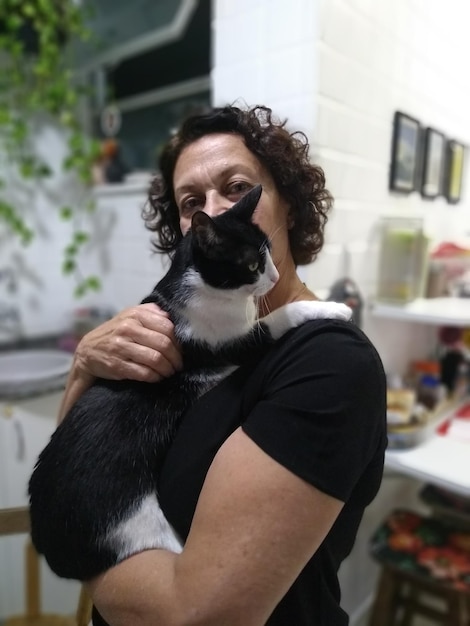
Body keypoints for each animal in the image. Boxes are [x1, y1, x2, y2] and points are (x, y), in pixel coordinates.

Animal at [27, 184, 350, 580]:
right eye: (251, 266)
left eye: (271, 254)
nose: (274, 278)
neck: (205, 290)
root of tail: (49, 544)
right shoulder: (226, 344)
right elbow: (278, 318)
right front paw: (333, 308)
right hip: (135, 527)